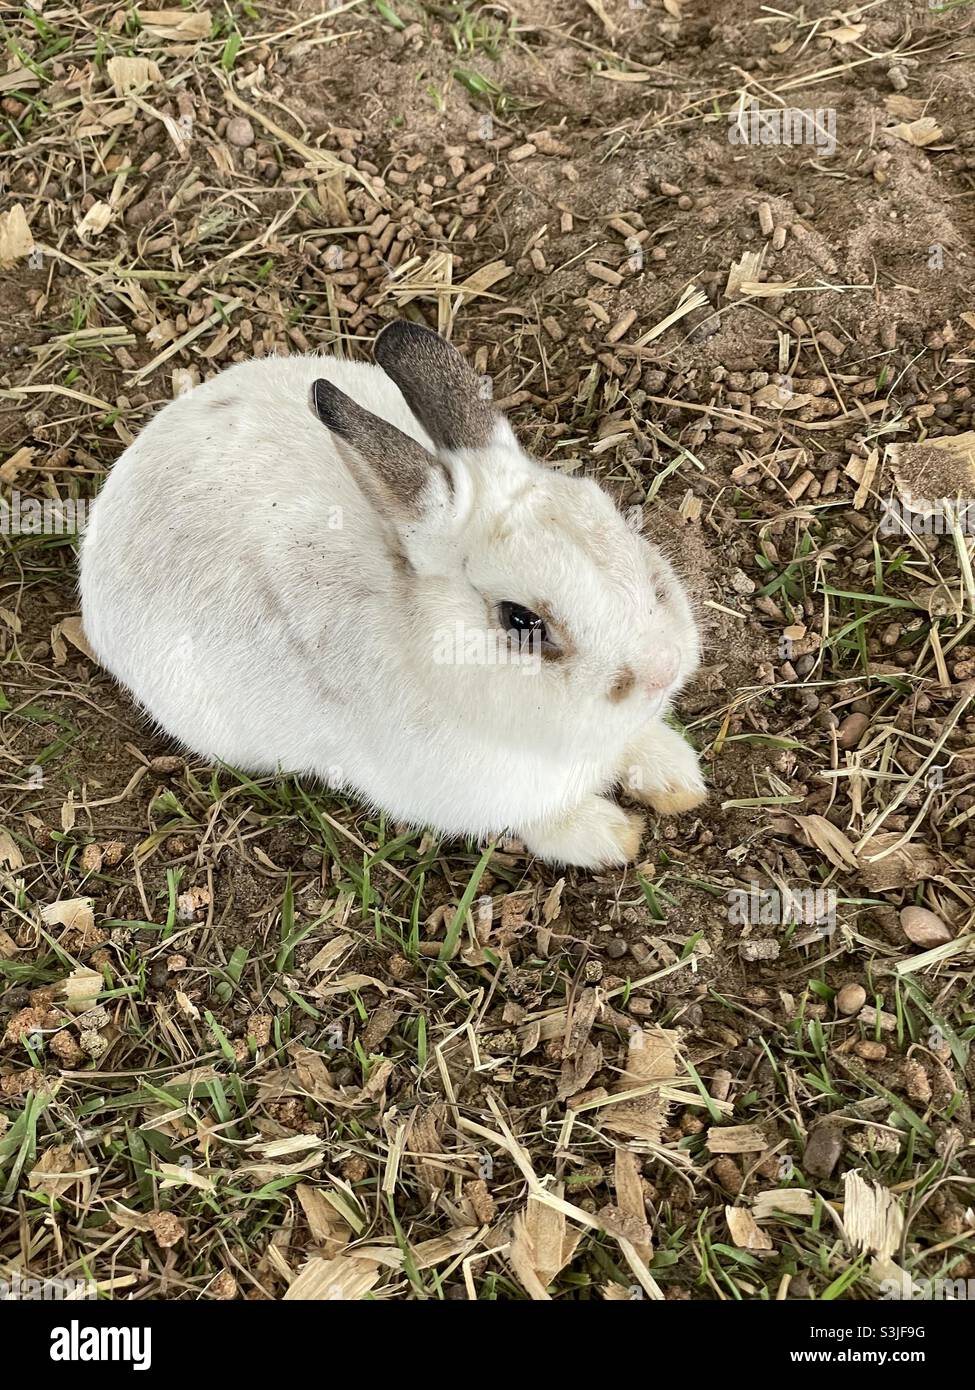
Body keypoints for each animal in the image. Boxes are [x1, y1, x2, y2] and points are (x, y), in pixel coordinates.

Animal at [80, 320, 706, 868]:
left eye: (610, 515)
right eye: (522, 620)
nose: (662, 669)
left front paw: (680, 780)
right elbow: (546, 820)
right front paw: (614, 838)